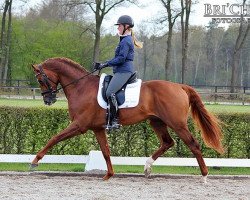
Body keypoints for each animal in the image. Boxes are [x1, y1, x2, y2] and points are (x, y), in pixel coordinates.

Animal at [31, 57, 225, 180]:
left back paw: (204, 176)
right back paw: (147, 167)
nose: (48, 100)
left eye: (40, 80)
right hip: (157, 122)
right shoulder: (97, 128)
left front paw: (34, 162)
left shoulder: (80, 125)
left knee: (193, 145)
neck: (81, 87)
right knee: (167, 142)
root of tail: (180, 86)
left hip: (177, 124)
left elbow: (54, 138)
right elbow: (106, 151)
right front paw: (109, 175)